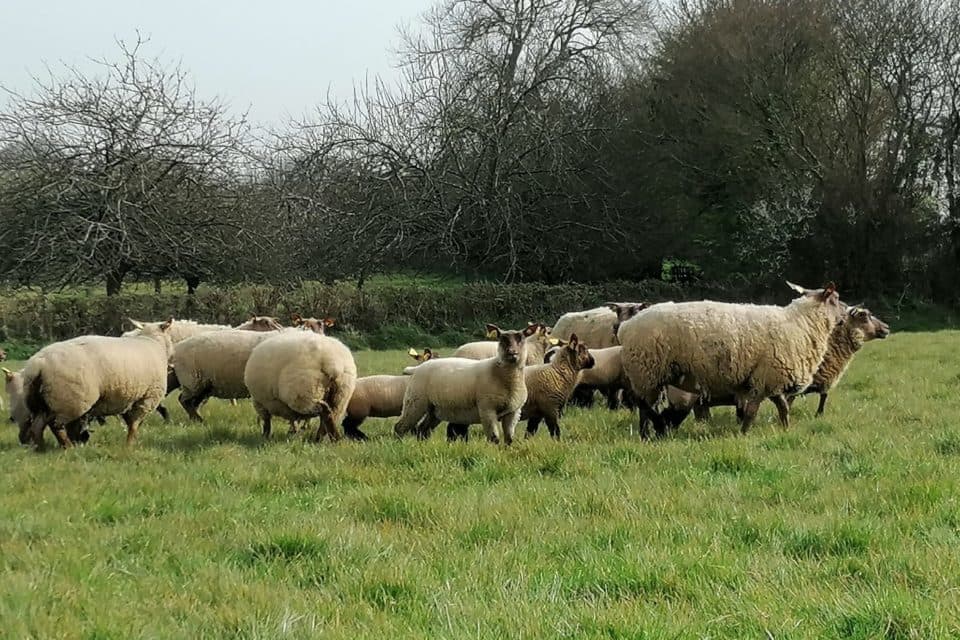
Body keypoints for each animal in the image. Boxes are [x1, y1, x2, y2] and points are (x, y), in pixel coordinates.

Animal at [15, 318, 176, 448]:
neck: (153, 342)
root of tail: (39, 363)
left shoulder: (128, 399)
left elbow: (130, 422)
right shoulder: (147, 398)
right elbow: (134, 425)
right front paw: (129, 445)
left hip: (43, 402)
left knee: (37, 426)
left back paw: (40, 448)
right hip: (68, 401)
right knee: (56, 426)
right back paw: (67, 447)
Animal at [398, 324, 532, 444]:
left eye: (521, 338)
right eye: (502, 339)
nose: (512, 353)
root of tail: (417, 368)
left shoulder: (513, 412)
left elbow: (509, 439)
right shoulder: (487, 409)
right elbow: (494, 438)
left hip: (435, 409)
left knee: (422, 430)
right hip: (415, 402)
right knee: (400, 427)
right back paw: (399, 445)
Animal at [620, 282, 844, 438]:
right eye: (836, 299)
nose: (846, 314)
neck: (803, 324)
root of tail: (626, 327)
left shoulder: (770, 380)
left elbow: (783, 408)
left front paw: (785, 429)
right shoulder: (764, 379)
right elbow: (752, 412)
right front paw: (744, 434)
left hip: (650, 376)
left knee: (648, 408)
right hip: (646, 372)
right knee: (644, 409)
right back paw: (646, 435)